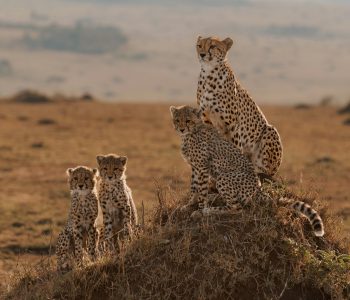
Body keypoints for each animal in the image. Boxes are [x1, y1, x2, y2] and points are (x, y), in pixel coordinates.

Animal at [170, 105, 326, 237]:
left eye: (188, 120)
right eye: (177, 120)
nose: (181, 129)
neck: (192, 132)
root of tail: (258, 189)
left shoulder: (202, 167)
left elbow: (201, 191)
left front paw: (200, 211)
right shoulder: (195, 167)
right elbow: (194, 187)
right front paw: (189, 205)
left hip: (224, 177)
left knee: (237, 209)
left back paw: (210, 210)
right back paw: (212, 200)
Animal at [196, 36, 284, 179]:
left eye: (213, 46)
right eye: (199, 45)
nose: (202, 54)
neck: (209, 74)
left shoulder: (232, 124)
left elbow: (235, 147)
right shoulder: (207, 120)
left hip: (269, 131)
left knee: (268, 173)